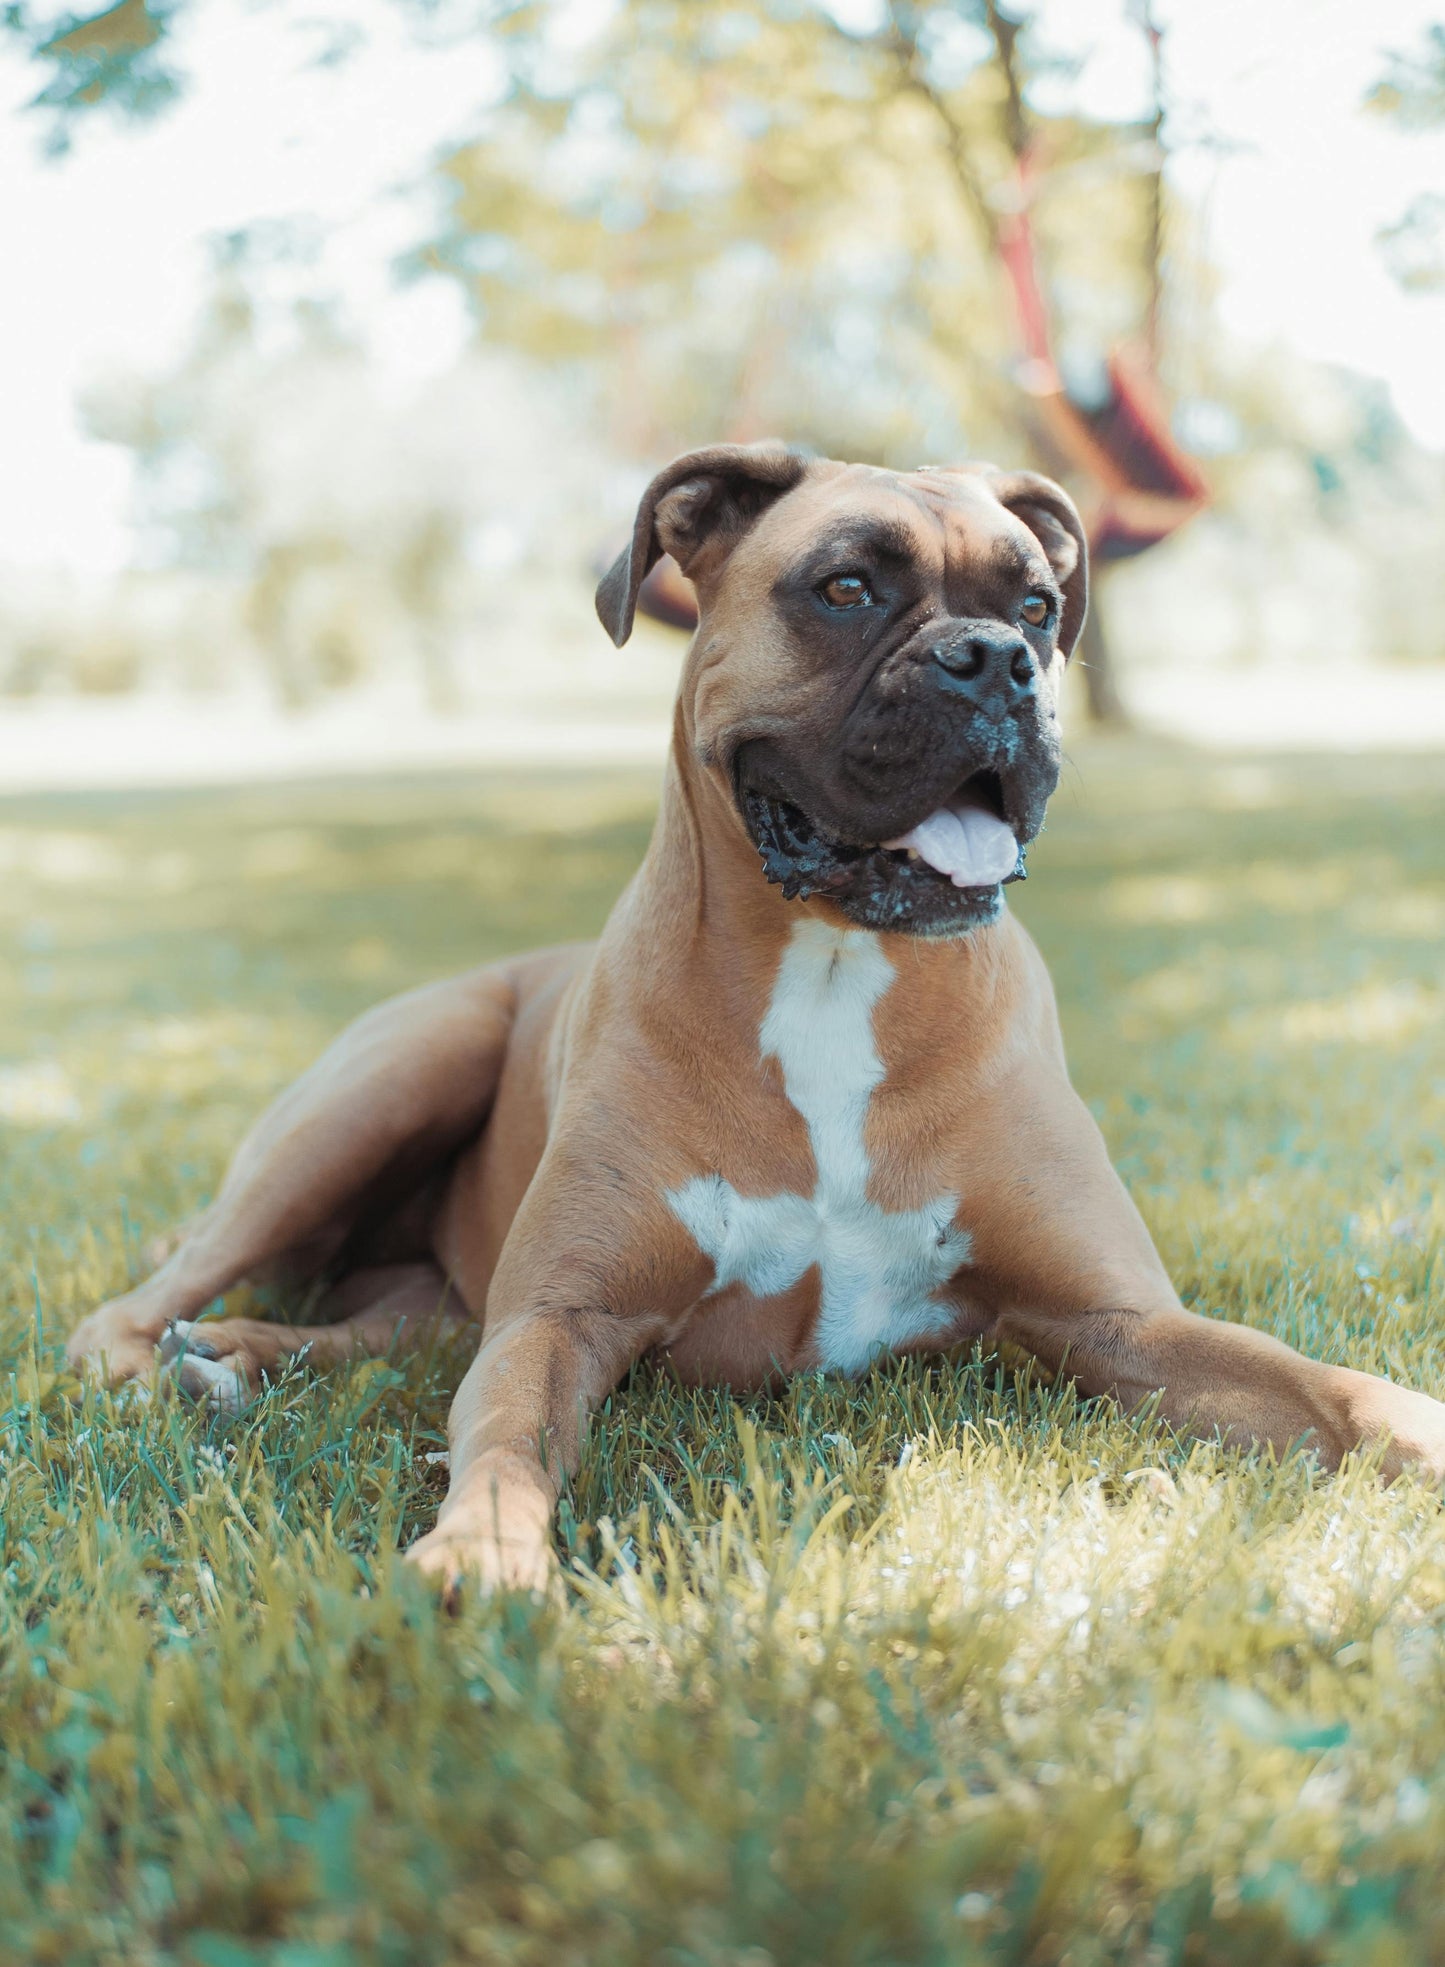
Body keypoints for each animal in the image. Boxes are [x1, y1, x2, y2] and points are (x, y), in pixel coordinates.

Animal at [73, 438, 1445, 1589]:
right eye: (842, 587)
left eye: (1034, 606)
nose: (995, 660)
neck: (838, 965)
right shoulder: (557, 1319)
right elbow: (505, 1432)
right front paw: (481, 1549)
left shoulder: (1119, 1324)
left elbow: (1327, 1383)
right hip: (398, 1071)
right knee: (143, 1301)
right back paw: (161, 1361)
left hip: (430, 1270)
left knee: (374, 1338)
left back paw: (233, 1357)